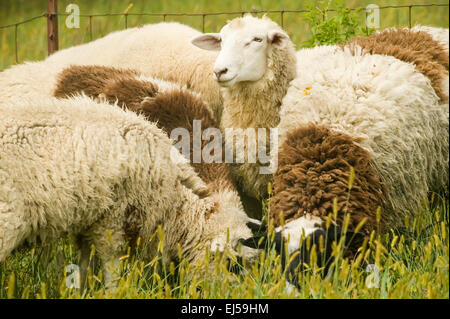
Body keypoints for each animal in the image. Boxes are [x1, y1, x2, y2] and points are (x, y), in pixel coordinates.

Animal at [0, 95, 258, 288]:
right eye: (232, 264)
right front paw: (113, 290)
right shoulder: (113, 219)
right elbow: (112, 265)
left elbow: (85, 264)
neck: (174, 206)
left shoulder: (89, 222)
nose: (233, 291)